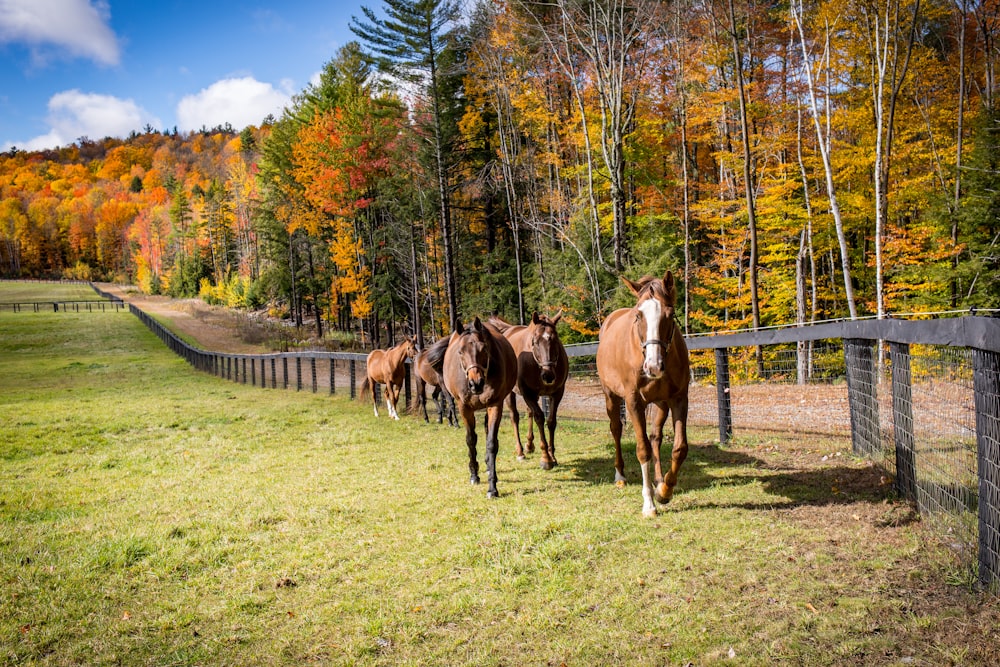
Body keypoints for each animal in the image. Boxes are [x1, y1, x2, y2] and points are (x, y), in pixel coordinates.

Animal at [448, 318, 524, 496]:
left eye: (483, 349)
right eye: (460, 352)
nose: (475, 383)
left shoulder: (495, 404)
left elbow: (491, 443)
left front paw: (492, 487)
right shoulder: (464, 408)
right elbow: (470, 440)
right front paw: (474, 475)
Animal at [488, 314, 568, 470]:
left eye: (555, 339)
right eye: (534, 342)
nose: (548, 375)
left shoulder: (557, 393)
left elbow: (551, 421)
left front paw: (552, 455)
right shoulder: (527, 394)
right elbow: (539, 418)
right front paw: (546, 458)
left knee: (529, 412)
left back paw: (530, 445)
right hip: (510, 394)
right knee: (515, 417)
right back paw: (520, 451)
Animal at [592, 268, 688, 520]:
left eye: (669, 313)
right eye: (638, 316)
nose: (653, 366)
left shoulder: (679, 399)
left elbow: (679, 448)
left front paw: (665, 490)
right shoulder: (634, 402)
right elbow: (642, 450)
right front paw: (649, 504)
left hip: (661, 404)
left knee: (655, 437)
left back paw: (659, 479)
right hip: (611, 397)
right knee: (616, 430)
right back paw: (620, 476)